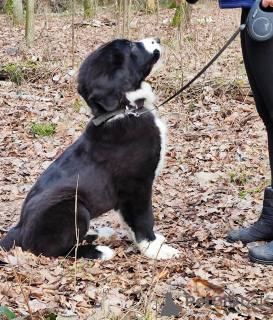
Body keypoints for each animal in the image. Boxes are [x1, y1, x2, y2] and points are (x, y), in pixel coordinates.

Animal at [0, 37, 180, 260]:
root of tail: (18, 229)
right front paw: (155, 249)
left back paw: (98, 233)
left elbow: (128, 220)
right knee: (57, 250)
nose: (157, 39)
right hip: (73, 207)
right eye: (130, 46)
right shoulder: (136, 185)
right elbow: (143, 218)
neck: (122, 110)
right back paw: (98, 250)